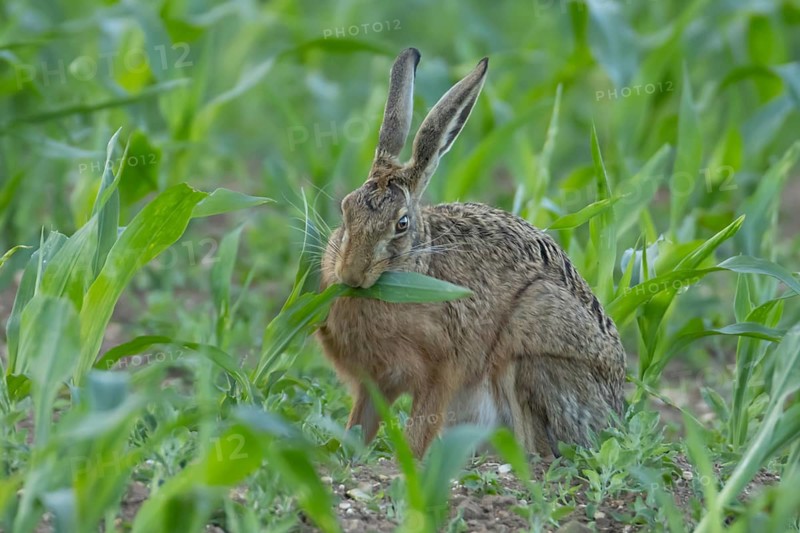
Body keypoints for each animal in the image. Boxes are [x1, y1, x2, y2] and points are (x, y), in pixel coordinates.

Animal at [317, 48, 626, 458]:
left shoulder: (441, 370)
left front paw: (407, 463)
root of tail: (615, 412)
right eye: (345, 210)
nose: (351, 274)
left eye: (401, 224)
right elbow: (359, 424)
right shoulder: (375, 383)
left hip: (532, 345)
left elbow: (420, 428)